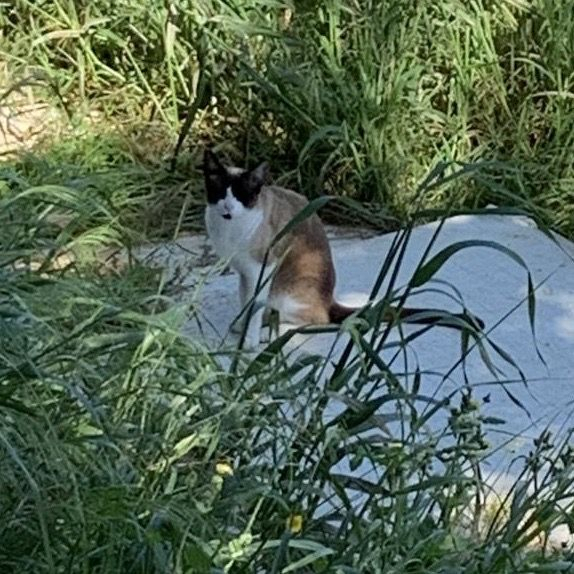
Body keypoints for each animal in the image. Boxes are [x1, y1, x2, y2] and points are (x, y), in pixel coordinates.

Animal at [203, 149, 483, 349]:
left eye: (241, 195)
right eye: (219, 192)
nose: (228, 207)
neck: (228, 227)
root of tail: (329, 299)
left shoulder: (260, 268)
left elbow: (253, 305)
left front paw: (248, 341)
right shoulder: (244, 272)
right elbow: (245, 301)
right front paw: (240, 326)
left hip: (285, 292)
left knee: (316, 320)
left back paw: (270, 333)